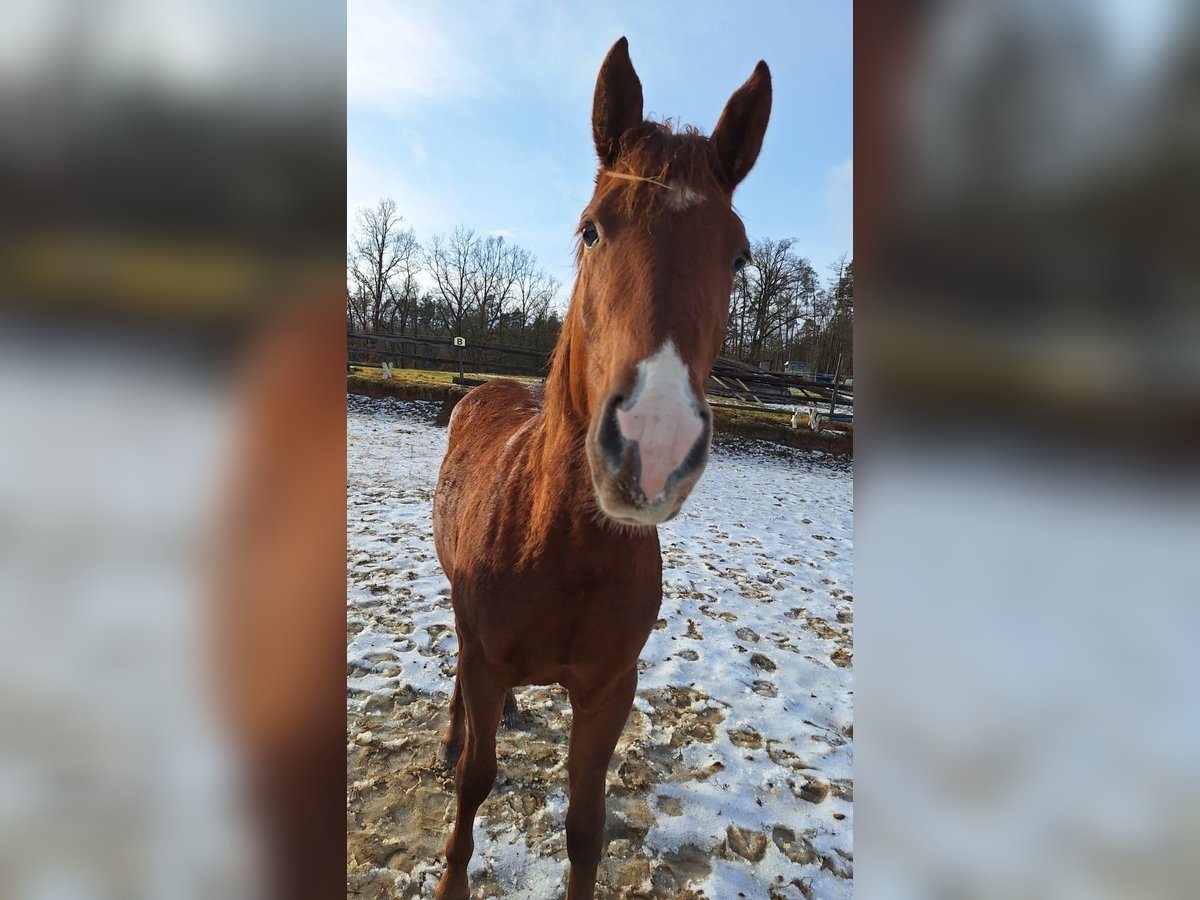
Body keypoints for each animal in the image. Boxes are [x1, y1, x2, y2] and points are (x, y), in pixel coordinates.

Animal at [432, 38, 768, 897]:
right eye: (591, 230)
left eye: (740, 254)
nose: (653, 441)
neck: (561, 551)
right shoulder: (486, 658)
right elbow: (475, 781)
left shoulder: (612, 690)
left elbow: (588, 825)